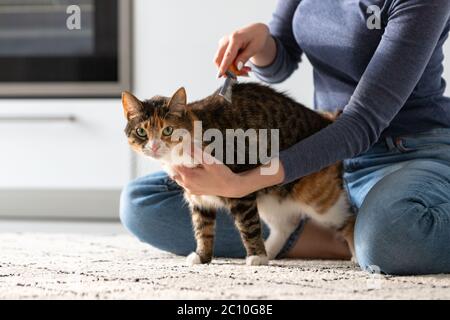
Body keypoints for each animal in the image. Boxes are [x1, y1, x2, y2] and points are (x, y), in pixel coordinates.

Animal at [120, 82, 356, 264]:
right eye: (141, 131)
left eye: (168, 130)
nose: (155, 146)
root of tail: (325, 121)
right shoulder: (198, 198)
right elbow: (203, 229)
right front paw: (202, 257)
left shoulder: (239, 190)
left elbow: (248, 225)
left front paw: (256, 257)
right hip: (270, 199)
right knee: (285, 224)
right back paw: (270, 251)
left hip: (320, 199)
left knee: (348, 218)